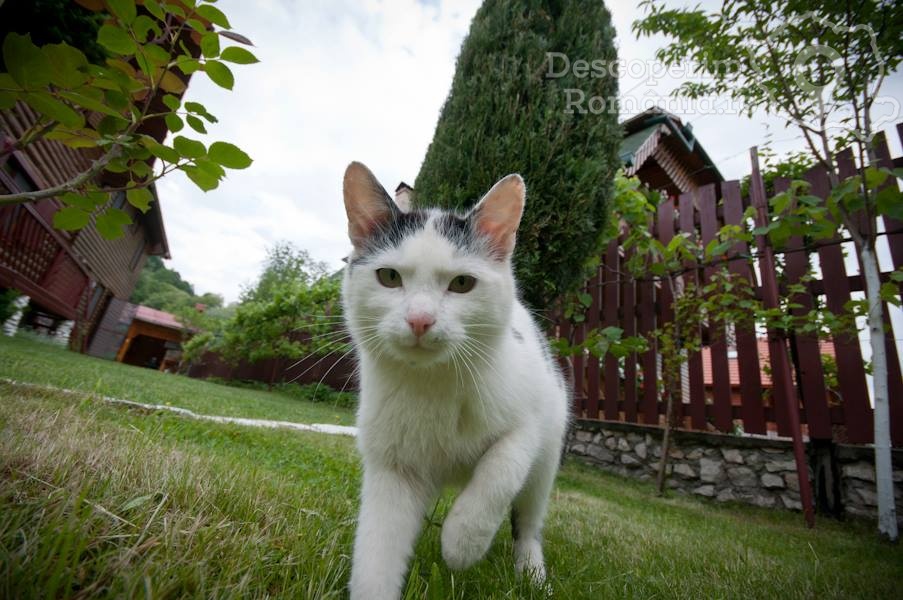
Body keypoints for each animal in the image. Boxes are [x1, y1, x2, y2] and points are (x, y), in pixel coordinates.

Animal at [342, 162, 568, 596]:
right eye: (389, 277)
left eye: (462, 283)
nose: (420, 320)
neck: (432, 384)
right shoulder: (391, 468)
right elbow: (377, 553)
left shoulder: (527, 423)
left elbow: (501, 469)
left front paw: (463, 542)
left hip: (549, 448)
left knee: (529, 518)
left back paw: (532, 573)